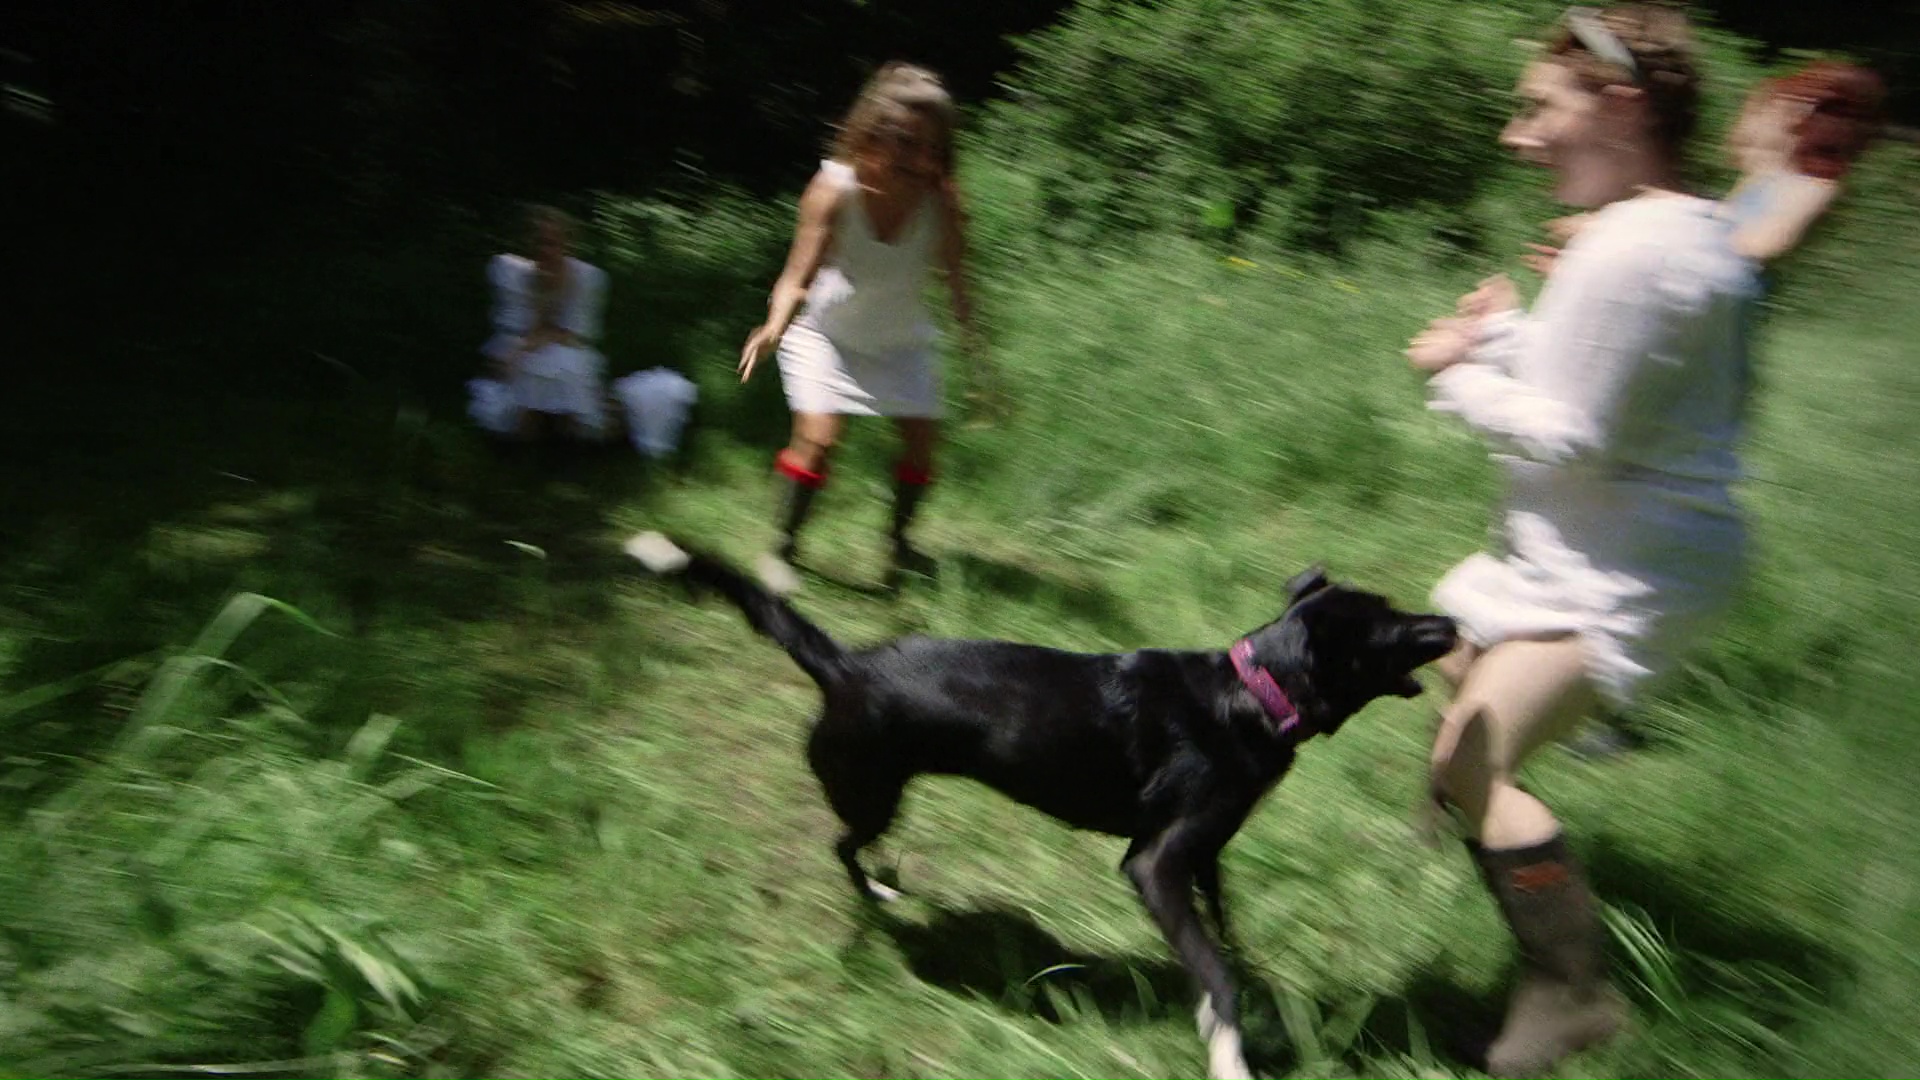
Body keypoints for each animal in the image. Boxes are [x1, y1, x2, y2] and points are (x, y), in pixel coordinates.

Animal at [623, 531, 1456, 1080]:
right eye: (1389, 621)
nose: (1449, 621)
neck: (1252, 694)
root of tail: (843, 664)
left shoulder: (1205, 851)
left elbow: (1224, 934)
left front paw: (1246, 995)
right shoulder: (1153, 863)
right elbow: (1212, 971)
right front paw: (1228, 1048)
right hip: (869, 791)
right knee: (843, 847)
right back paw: (880, 894)